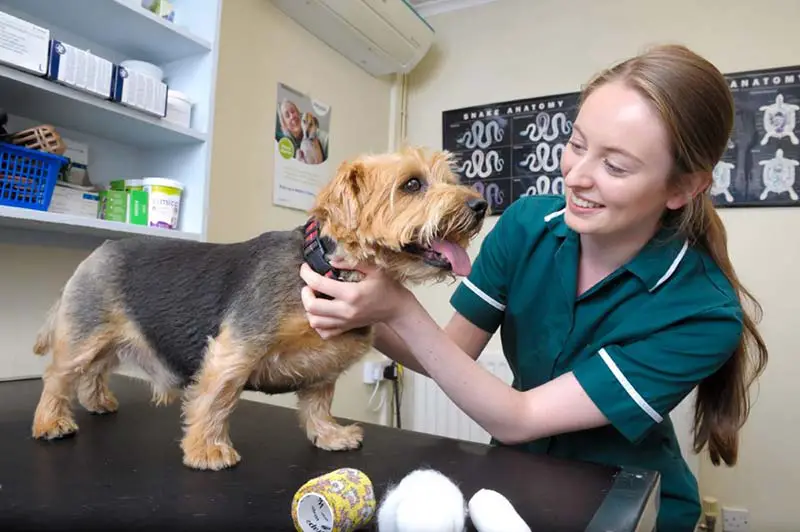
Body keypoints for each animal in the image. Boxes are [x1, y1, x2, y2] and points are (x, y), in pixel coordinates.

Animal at [29, 145, 488, 470]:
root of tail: (98, 250)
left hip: (108, 336)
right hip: (86, 332)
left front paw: (330, 435)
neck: (322, 264)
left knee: (94, 370)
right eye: (412, 185)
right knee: (58, 376)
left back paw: (97, 401)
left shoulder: (323, 367)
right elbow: (217, 397)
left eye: (449, 178)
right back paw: (51, 422)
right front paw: (207, 450)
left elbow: (318, 403)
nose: (480, 205)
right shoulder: (236, 348)